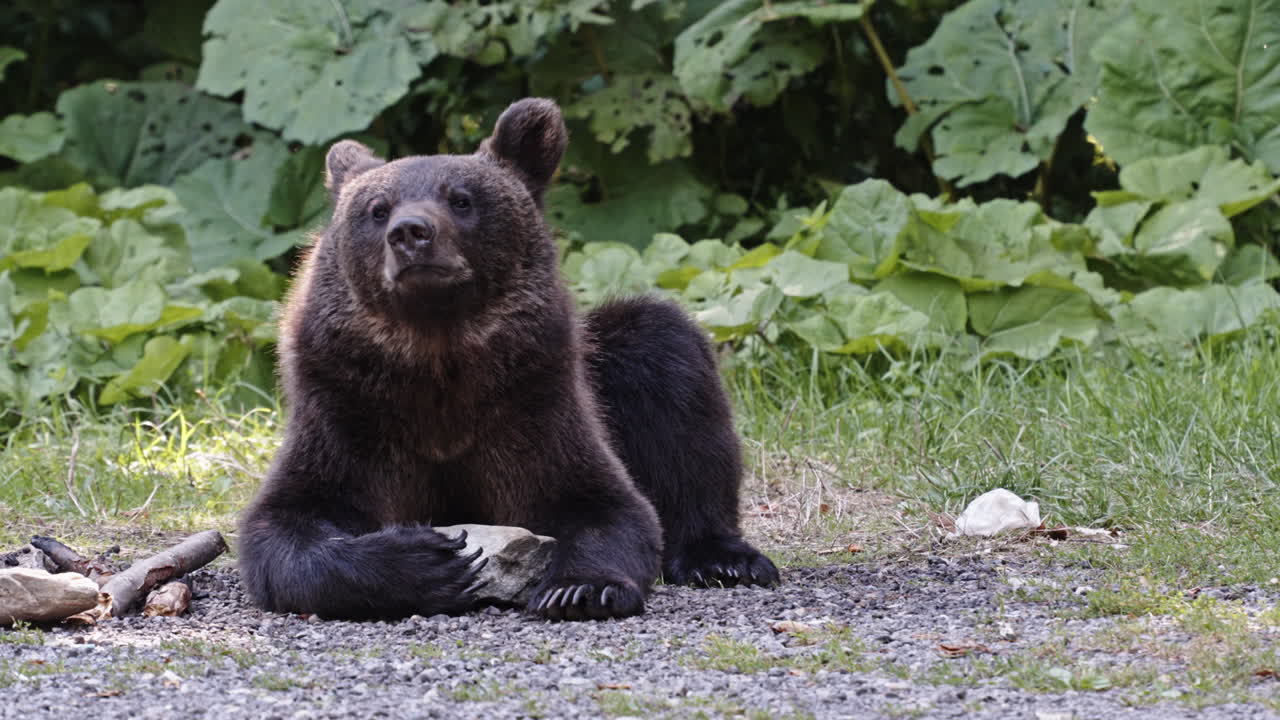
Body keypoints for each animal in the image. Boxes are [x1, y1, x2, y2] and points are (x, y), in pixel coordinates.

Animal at [237, 98, 779, 621]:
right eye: (377, 209)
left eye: (460, 198)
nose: (410, 232)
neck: (437, 362)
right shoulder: (348, 411)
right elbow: (287, 524)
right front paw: (430, 560)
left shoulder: (533, 403)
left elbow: (608, 507)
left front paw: (580, 588)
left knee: (668, 362)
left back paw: (723, 559)